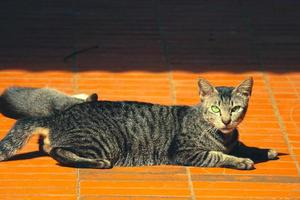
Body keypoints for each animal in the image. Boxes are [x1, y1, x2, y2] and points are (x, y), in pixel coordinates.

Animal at [0, 77, 278, 170]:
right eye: (215, 108)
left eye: (235, 108)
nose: (226, 120)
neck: (223, 135)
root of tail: (58, 116)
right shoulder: (186, 152)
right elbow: (217, 156)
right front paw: (241, 161)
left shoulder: (234, 141)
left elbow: (245, 146)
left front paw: (266, 151)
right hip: (102, 141)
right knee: (58, 152)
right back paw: (98, 164)